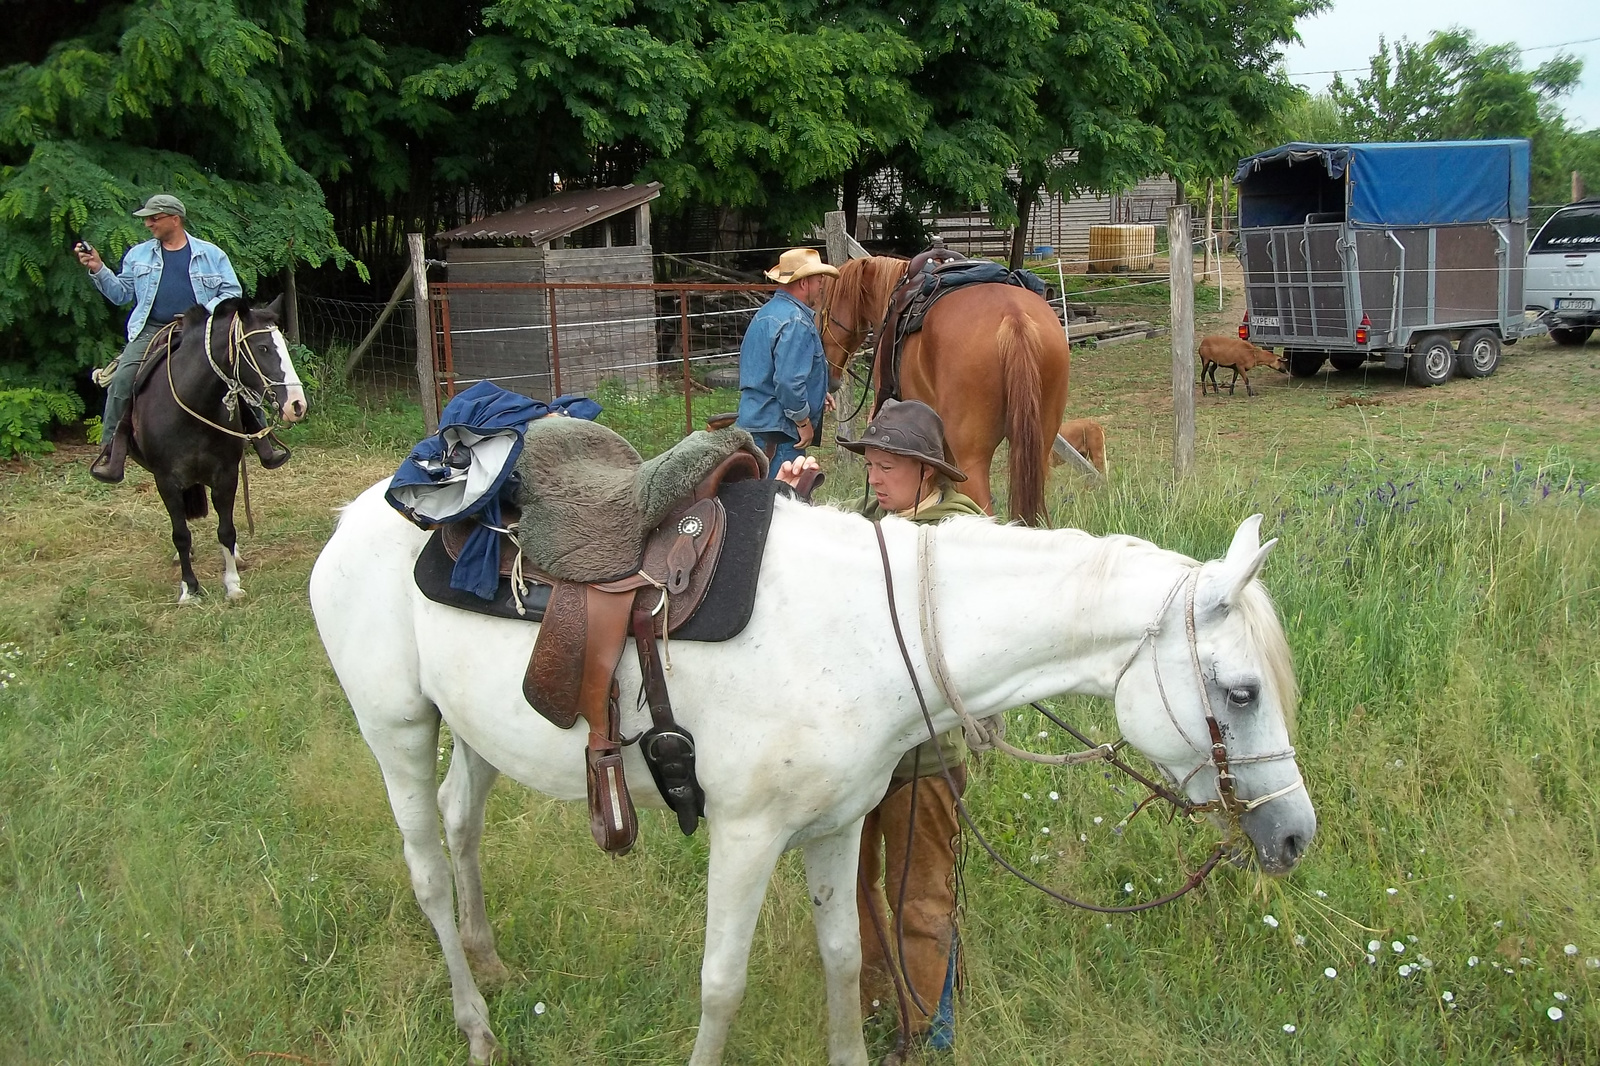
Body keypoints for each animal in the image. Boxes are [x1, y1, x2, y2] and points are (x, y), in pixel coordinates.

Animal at [116, 296, 307, 598]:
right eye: (262, 347)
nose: (297, 405)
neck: (191, 404)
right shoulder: (166, 481)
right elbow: (181, 534)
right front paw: (189, 588)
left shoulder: (226, 475)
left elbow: (226, 530)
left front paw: (232, 584)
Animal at [308, 483, 1312, 1062]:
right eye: (1243, 691)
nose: (1296, 834)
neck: (867, 631)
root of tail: (356, 516)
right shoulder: (746, 836)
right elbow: (722, 985)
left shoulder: (835, 828)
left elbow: (845, 957)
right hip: (396, 729)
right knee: (428, 871)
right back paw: (474, 1022)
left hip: (479, 734)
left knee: (462, 824)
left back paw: (490, 960)